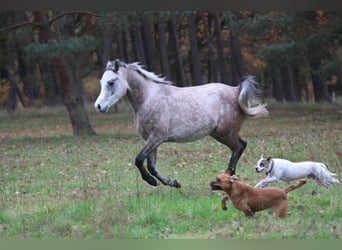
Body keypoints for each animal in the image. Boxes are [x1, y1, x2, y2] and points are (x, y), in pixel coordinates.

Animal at [95, 60, 268, 188]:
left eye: (111, 82)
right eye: (102, 82)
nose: (99, 107)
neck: (148, 99)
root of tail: (236, 90)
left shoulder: (157, 137)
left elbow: (139, 160)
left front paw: (152, 181)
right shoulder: (149, 139)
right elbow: (151, 165)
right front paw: (172, 183)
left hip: (225, 133)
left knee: (240, 146)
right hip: (220, 133)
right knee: (238, 147)